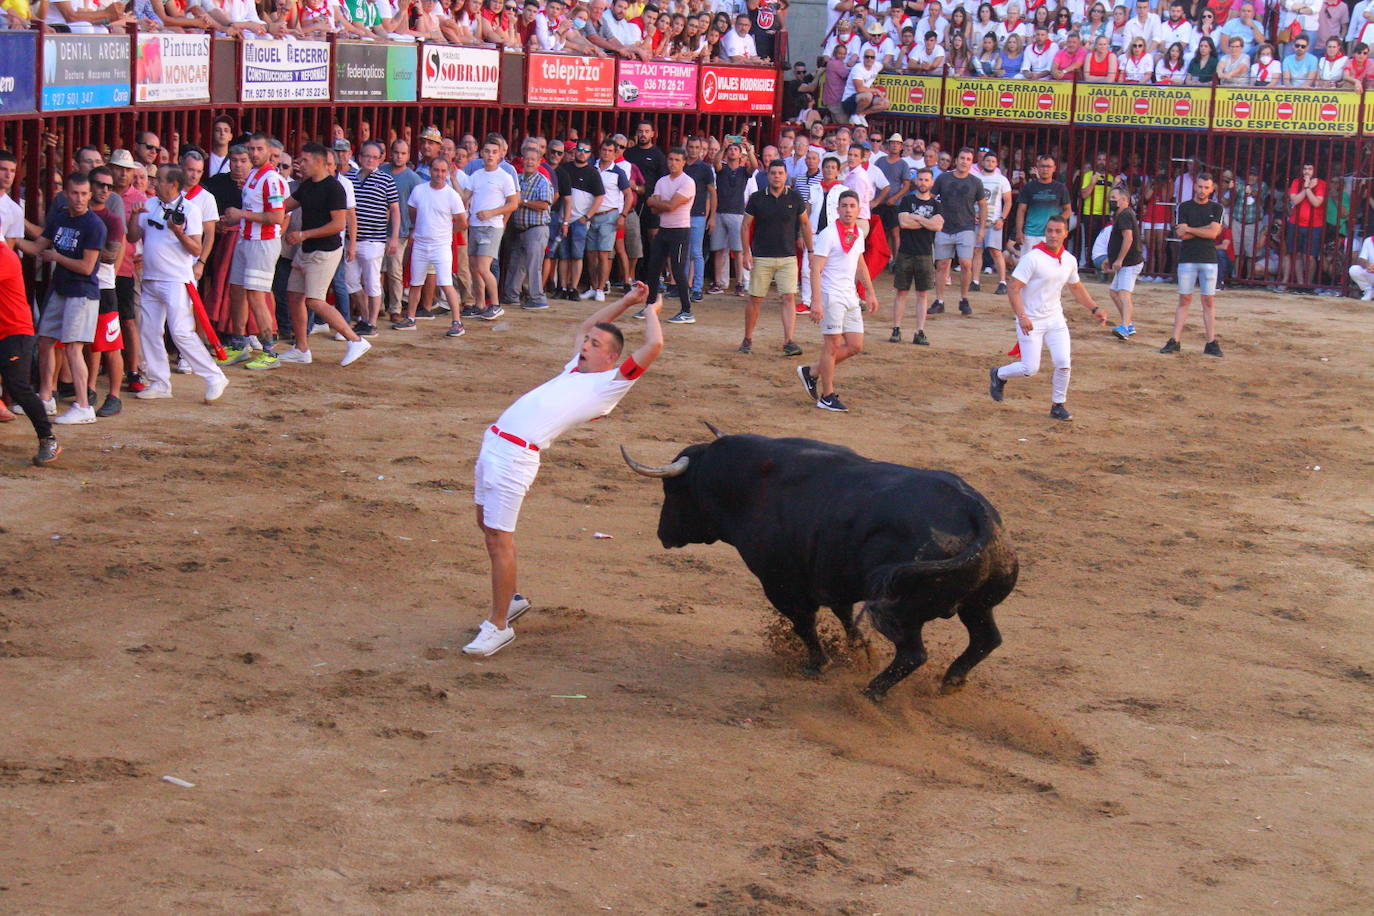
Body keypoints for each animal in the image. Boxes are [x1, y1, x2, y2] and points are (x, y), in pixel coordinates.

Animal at [623, 433, 1022, 697]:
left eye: (673, 492)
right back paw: (951, 681)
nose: (662, 533)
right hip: (978, 604)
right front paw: (858, 651)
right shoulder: (833, 579)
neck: (749, 486)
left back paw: (872, 692)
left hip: (899, 611)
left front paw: (817, 663)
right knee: (986, 639)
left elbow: (804, 624)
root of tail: (978, 514)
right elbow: (845, 617)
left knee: (913, 654)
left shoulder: (782, 585)